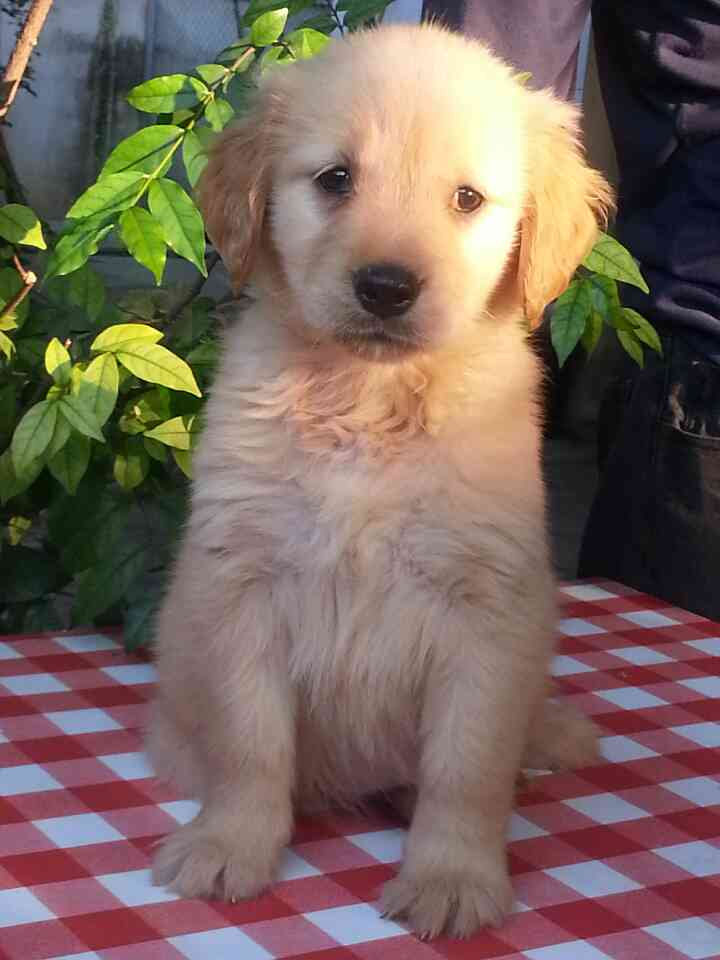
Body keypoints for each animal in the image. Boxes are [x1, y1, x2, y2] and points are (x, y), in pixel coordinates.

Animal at [148, 23, 612, 939]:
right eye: (335, 179)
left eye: (467, 199)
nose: (386, 287)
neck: (368, 398)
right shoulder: (243, 581)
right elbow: (249, 740)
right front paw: (231, 843)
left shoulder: (487, 606)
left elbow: (466, 766)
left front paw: (453, 875)